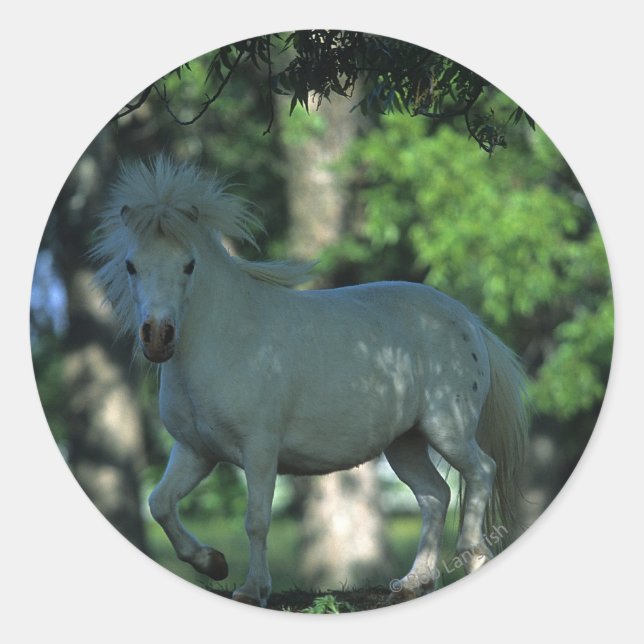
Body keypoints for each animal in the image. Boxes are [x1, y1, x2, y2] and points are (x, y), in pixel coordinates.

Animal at [92, 156, 529, 607]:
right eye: (131, 265)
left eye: (188, 264)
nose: (158, 338)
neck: (226, 337)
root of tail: (468, 320)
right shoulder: (195, 450)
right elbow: (159, 503)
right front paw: (212, 563)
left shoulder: (259, 449)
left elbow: (256, 519)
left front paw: (252, 589)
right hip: (405, 443)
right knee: (435, 495)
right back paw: (414, 582)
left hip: (448, 429)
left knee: (480, 471)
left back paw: (473, 555)